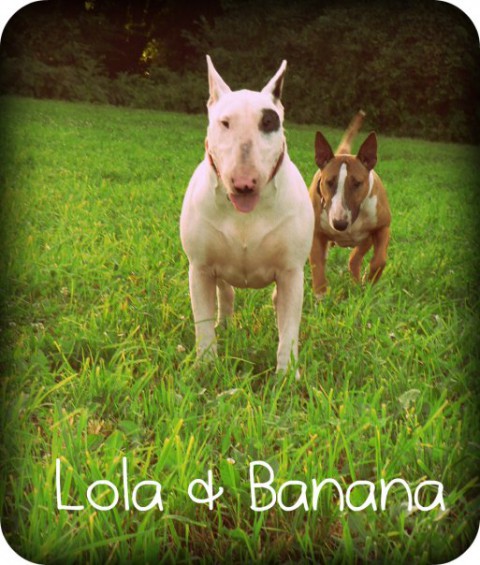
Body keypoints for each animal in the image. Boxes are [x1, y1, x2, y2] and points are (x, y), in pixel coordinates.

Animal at [180, 56, 314, 373]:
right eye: (225, 123)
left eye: (269, 122)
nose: (244, 183)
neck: (243, 215)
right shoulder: (200, 267)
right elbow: (203, 322)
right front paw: (205, 366)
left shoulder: (291, 272)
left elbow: (289, 329)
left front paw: (287, 376)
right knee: (225, 292)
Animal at [309, 112, 391, 298]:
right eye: (329, 182)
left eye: (357, 183)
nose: (339, 224)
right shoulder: (316, 233)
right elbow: (317, 264)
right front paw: (321, 295)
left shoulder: (383, 226)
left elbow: (380, 260)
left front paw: (370, 281)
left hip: (366, 240)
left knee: (354, 259)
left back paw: (357, 284)